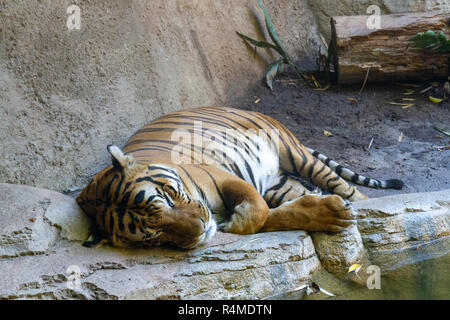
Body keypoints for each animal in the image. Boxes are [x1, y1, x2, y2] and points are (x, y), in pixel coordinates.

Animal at [75, 106, 402, 249]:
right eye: (155, 235)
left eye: (167, 195)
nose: (202, 226)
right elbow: (273, 216)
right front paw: (330, 214)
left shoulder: (224, 178)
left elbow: (257, 211)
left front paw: (234, 224)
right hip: (280, 183)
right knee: (299, 191)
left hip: (294, 152)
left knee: (348, 188)